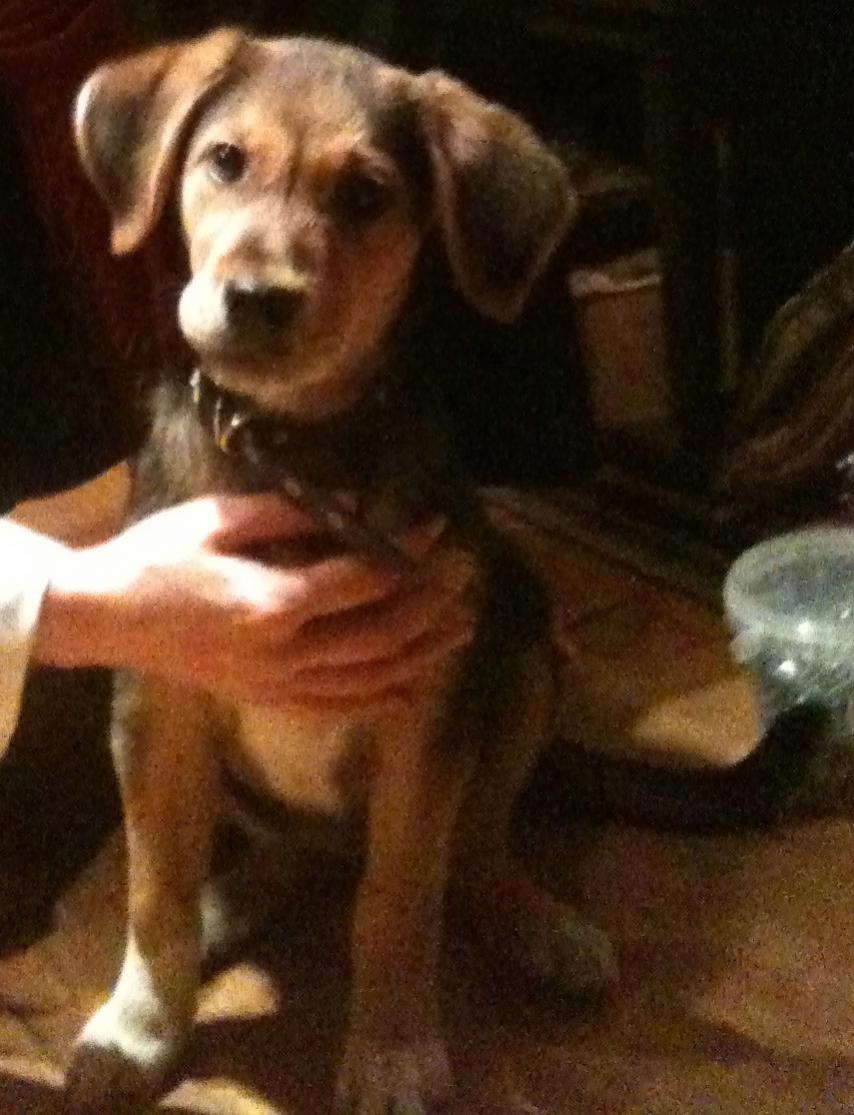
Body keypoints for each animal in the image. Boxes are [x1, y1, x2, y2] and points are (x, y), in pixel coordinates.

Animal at [67, 27, 616, 1113]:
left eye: (366, 195)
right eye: (224, 160)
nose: (255, 299)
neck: (293, 448)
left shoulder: (425, 718)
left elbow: (398, 897)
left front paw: (393, 1050)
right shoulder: (158, 702)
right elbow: (154, 886)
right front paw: (140, 1028)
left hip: (523, 648)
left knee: (478, 842)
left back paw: (535, 921)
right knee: (272, 849)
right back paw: (231, 900)